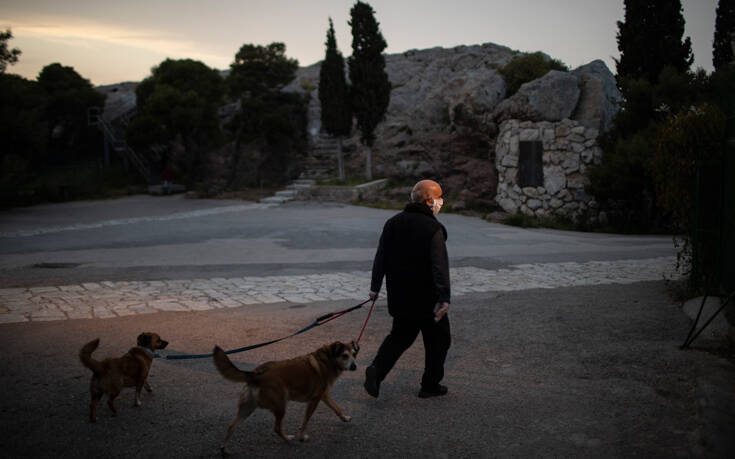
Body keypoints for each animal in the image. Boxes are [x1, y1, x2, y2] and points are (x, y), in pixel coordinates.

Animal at [213, 342, 360, 452]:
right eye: (345, 355)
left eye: (354, 355)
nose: (354, 366)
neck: (328, 359)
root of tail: (257, 374)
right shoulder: (314, 400)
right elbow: (306, 420)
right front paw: (302, 436)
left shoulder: (324, 396)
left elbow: (337, 408)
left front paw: (345, 418)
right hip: (280, 406)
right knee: (277, 428)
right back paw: (288, 439)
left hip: (247, 408)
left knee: (231, 426)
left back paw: (223, 447)